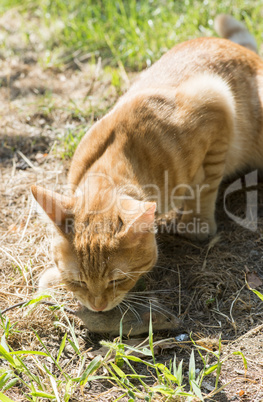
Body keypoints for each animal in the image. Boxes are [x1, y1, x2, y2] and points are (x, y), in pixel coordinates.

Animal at [32, 14, 262, 310]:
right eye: (78, 281)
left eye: (116, 280)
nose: (97, 307)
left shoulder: (216, 102)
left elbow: (206, 185)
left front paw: (195, 222)